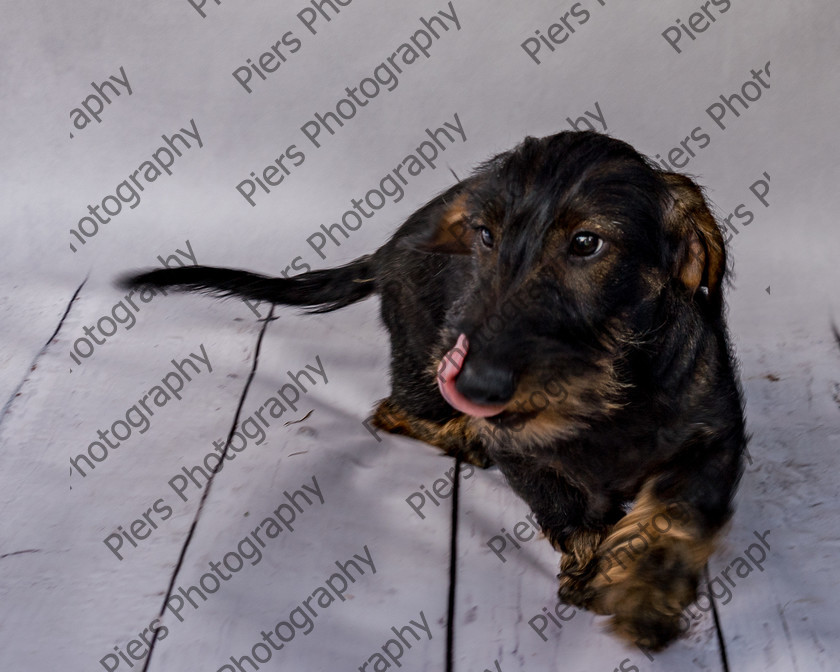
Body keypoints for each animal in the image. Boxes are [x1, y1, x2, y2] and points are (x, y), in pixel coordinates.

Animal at [120, 131, 748, 652]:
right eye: (486, 235)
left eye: (587, 243)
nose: (475, 387)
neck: (609, 397)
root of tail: (387, 250)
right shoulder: (517, 451)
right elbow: (565, 504)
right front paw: (595, 561)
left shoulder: (715, 438)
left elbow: (677, 513)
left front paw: (645, 594)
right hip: (419, 369)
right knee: (390, 410)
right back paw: (458, 433)